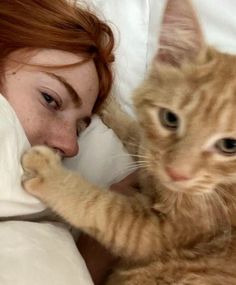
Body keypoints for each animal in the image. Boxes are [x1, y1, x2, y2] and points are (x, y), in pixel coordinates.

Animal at [20, 1, 236, 282]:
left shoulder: (159, 231)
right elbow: (135, 133)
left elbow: (104, 209)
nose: (176, 173)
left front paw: (50, 175)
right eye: (169, 119)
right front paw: (111, 106)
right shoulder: (149, 153)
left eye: (230, 146)